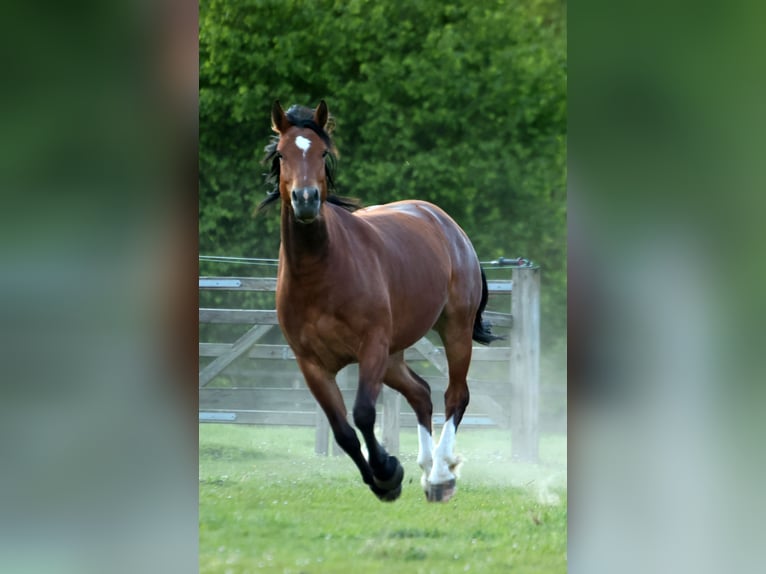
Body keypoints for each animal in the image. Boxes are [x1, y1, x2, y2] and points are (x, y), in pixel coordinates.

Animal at [258, 100, 501, 502]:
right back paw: (425, 468)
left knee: (456, 396)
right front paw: (385, 478)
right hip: (393, 357)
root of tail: (448, 224)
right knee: (421, 394)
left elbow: (363, 414)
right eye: (281, 153)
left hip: (454, 330)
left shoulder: (371, 347)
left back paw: (440, 475)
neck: (320, 275)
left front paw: (387, 470)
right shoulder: (312, 365)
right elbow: (342, 431)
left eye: (322, 152)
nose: (305, 200)